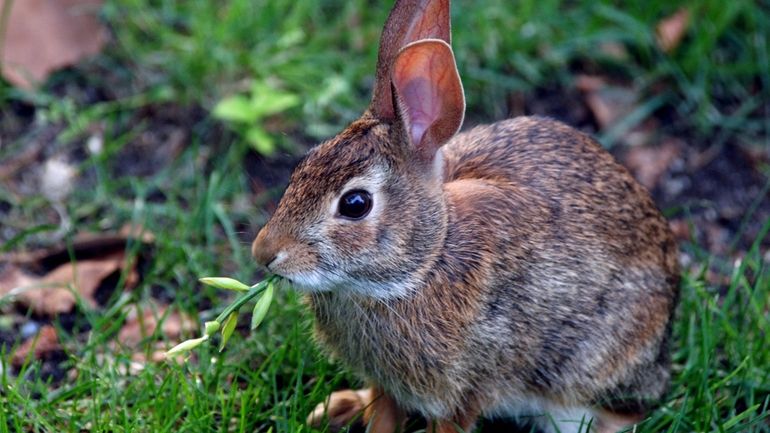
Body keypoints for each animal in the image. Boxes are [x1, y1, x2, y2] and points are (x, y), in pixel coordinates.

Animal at [249, 1, 676, 430]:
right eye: (304, 164)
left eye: (356, 204)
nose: (264, 253)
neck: (424, 264)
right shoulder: (389, 382)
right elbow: (383, 410)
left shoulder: (468, 384)